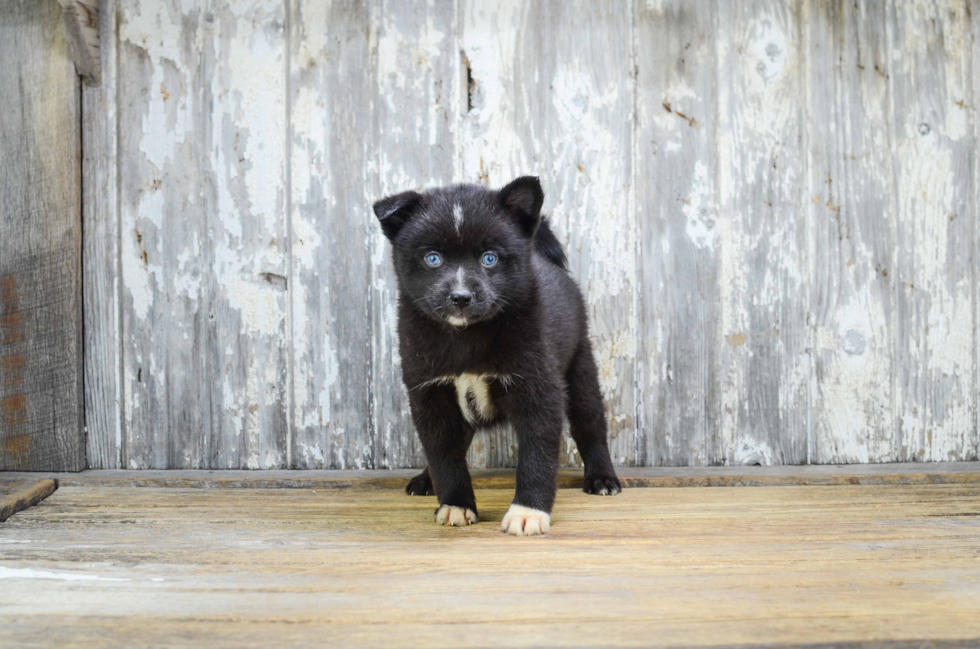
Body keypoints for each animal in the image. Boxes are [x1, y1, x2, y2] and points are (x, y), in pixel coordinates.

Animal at [376, 175, 620, 536]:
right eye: (433, 258)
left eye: (489, 258)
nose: (460, 297)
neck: (467, 337)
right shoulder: (430, 394)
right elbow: (443, 454)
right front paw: (455, 503)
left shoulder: (538, 389)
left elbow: (536, 455)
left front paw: (528, 512)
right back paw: (426, 480)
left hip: (580, 367)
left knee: (591, 425)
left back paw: (602, 478)